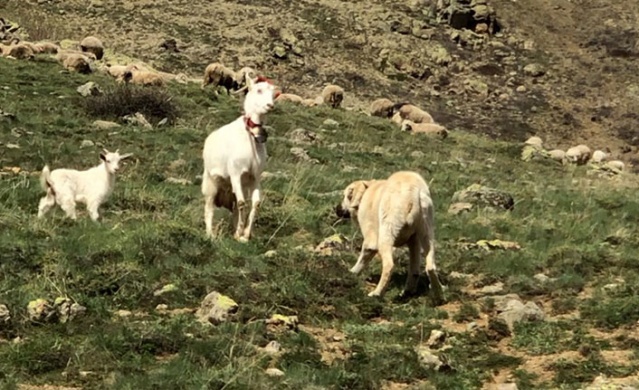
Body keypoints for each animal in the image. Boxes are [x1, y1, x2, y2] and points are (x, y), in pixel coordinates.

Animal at [336, 170, 444, 302]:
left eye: (346, 196)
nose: (337, 209)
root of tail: (412, 192)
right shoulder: (414, 241)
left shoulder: (370, 238)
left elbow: (363, 257)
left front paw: (351, 273)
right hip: (426, 232)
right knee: (427, 268)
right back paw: (435, 295)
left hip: (386, 233)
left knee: (389, 265)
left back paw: (377, 293)